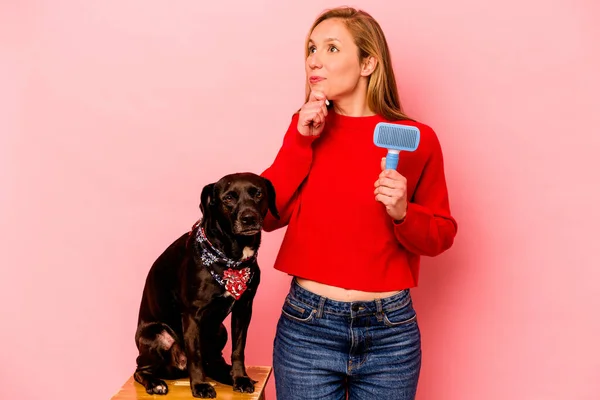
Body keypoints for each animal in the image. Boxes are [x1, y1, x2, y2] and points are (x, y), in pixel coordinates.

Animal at [134, 172, 278, 396]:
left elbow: (238, 350)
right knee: (140, 370)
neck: (231, 259)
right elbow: (195, 355)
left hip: (220, 330)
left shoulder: (243, 309)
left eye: (258, 193)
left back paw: (227, 374)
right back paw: (155, 383)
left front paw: (240, 378)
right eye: (228, 198)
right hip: (156, 336)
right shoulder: (192, 314)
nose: (249, 218)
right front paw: (200, 385)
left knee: (214, 361)